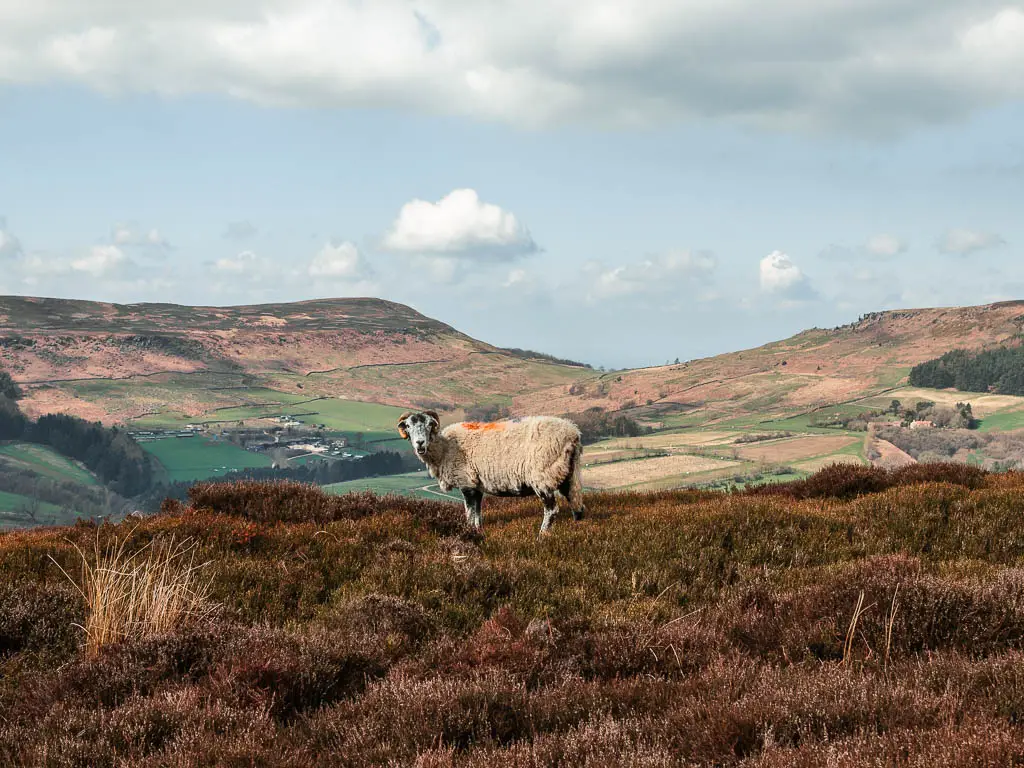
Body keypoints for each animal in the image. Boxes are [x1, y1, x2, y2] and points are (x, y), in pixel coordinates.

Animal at [397, 409, 585, 536]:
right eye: (408, 426)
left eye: (430, 425)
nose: (420, 443)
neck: (444, 449)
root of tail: (573, 433)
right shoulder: (477, 486)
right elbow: (477, 516)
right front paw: (478, 533)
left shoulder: (466, 483)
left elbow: (469, 514)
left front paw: (468, 533)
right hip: (568, 474)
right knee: (577, 506)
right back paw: (577, 530)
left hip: (543, 476)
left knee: (552, 510)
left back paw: (542, 536)